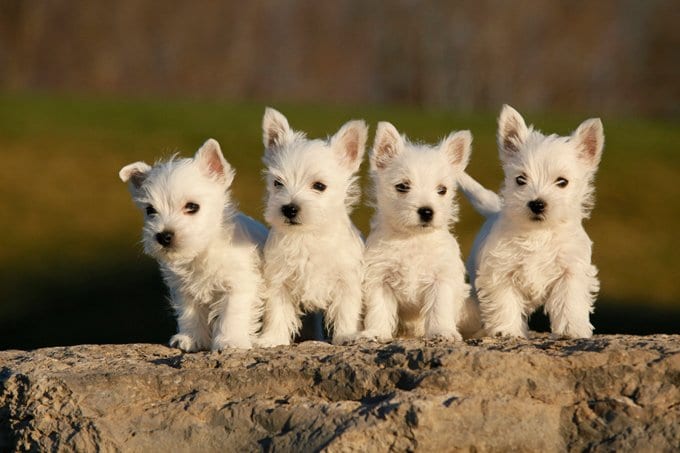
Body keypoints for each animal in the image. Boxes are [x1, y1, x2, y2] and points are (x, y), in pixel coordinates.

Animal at [118, 139, 266, 352]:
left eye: (192, 207)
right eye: (150, 210)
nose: (163, 236)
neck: (202, 252)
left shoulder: (239, 284)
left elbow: (232, 314)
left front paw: (229, 341)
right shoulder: (184, 289)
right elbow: (190, 313)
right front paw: (191, 339)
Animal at [258, 107, 370, 346]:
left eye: (319, 186)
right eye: (278, 183)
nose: (289, 208)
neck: (307, 236)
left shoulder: (346, 281)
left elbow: (347, 311)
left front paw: (347, 335)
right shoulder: (279, 281)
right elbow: (276, 312)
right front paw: (272, 339)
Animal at [358, 122, 476, 340]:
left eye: (442, 190)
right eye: (402, 186)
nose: (427, 211)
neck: (412, 238)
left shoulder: (441, 279)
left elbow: (439, 307)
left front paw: (442, 331)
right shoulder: (380, 280)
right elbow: (379, 309)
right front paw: (376, 333)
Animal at [460, 106, 604, 338]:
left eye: (562, 182)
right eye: (521, 179)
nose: (537, 204)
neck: (539, 233)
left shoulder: (570, 271)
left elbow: (569, 301)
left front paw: (572, 329)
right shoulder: (500, 272)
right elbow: (505, 302)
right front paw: (508, 330)